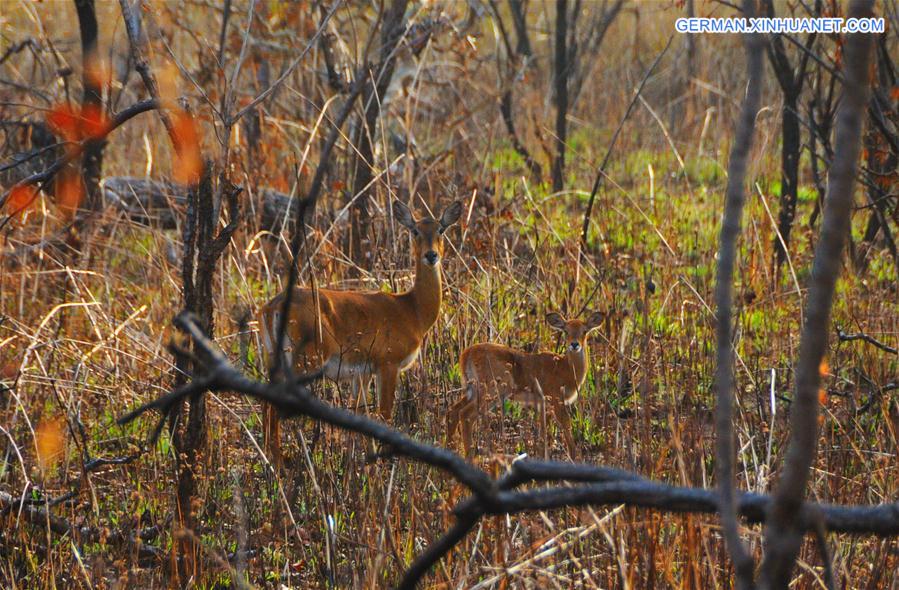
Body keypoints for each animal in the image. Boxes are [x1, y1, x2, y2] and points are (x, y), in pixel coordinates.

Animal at [256, 201, 460, 464]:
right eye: (415, 231)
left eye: (441, 230)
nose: (431, 255)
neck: (412, 311)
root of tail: (270, 308)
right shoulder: (388, 360)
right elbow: (384, 415)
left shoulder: (360, 372)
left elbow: (361, 415)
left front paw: (366, 463)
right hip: (305, 357)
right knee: (273, 407)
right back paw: (278, 464)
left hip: (272, 354)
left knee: (265, 403)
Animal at [448, 312, 608, 460]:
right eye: (566, 331)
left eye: (584, 331)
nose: (574, 344)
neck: (566, 369)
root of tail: (466, 354)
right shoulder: (556, 399)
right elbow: (565, 424)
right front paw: (574, 456)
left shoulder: (542, 404)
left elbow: (543, 432)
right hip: (493, 391)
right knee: (466, 415)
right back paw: (469, 455)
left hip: (473, 390)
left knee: (453, 410)